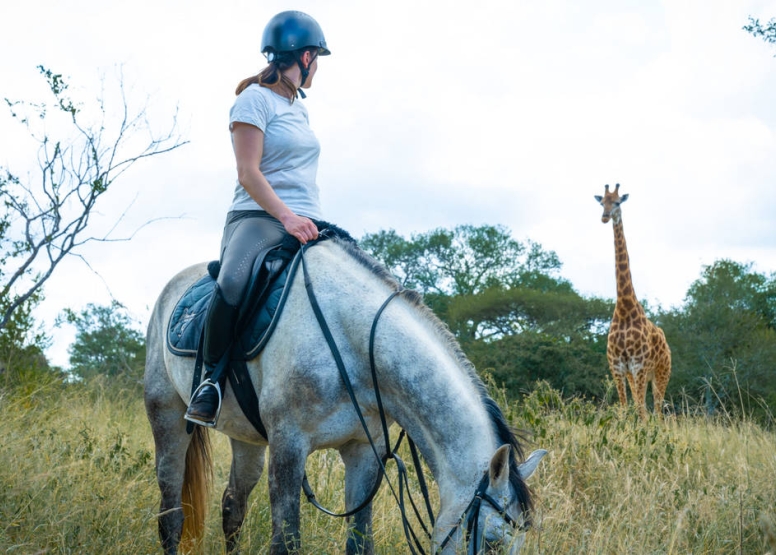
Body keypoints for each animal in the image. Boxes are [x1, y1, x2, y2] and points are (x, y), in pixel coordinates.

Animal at [144, 238, 544, 555]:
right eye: (492, 542)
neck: (352, 342)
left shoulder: (364, 451)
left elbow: (359, 543)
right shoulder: (288, 447)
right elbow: (286, 542)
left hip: (247, 438)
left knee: (232, 507)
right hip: (167, 415)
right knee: (171, 514)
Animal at [596, 185, 668, 420]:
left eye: (618, 202)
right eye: (602, 202)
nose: (605, 217)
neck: (625, 307)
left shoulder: (638, 366)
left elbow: (641, 411)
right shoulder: (618, 367)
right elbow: (624, 408)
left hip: (661, 372)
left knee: (658, 411)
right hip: (638, 375)